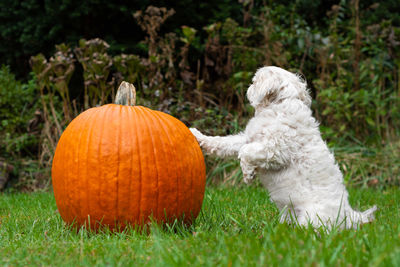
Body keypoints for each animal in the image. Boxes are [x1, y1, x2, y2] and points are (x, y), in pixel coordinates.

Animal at [191, 66, 378, 230]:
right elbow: (226, 144)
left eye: (254, 81)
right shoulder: (248, 139)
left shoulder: (274, 150)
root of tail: (348, 216)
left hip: (312, 218)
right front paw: (199, 137)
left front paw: (247, 174)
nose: (248, 87)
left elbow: (246, 153)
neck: (280, 104)